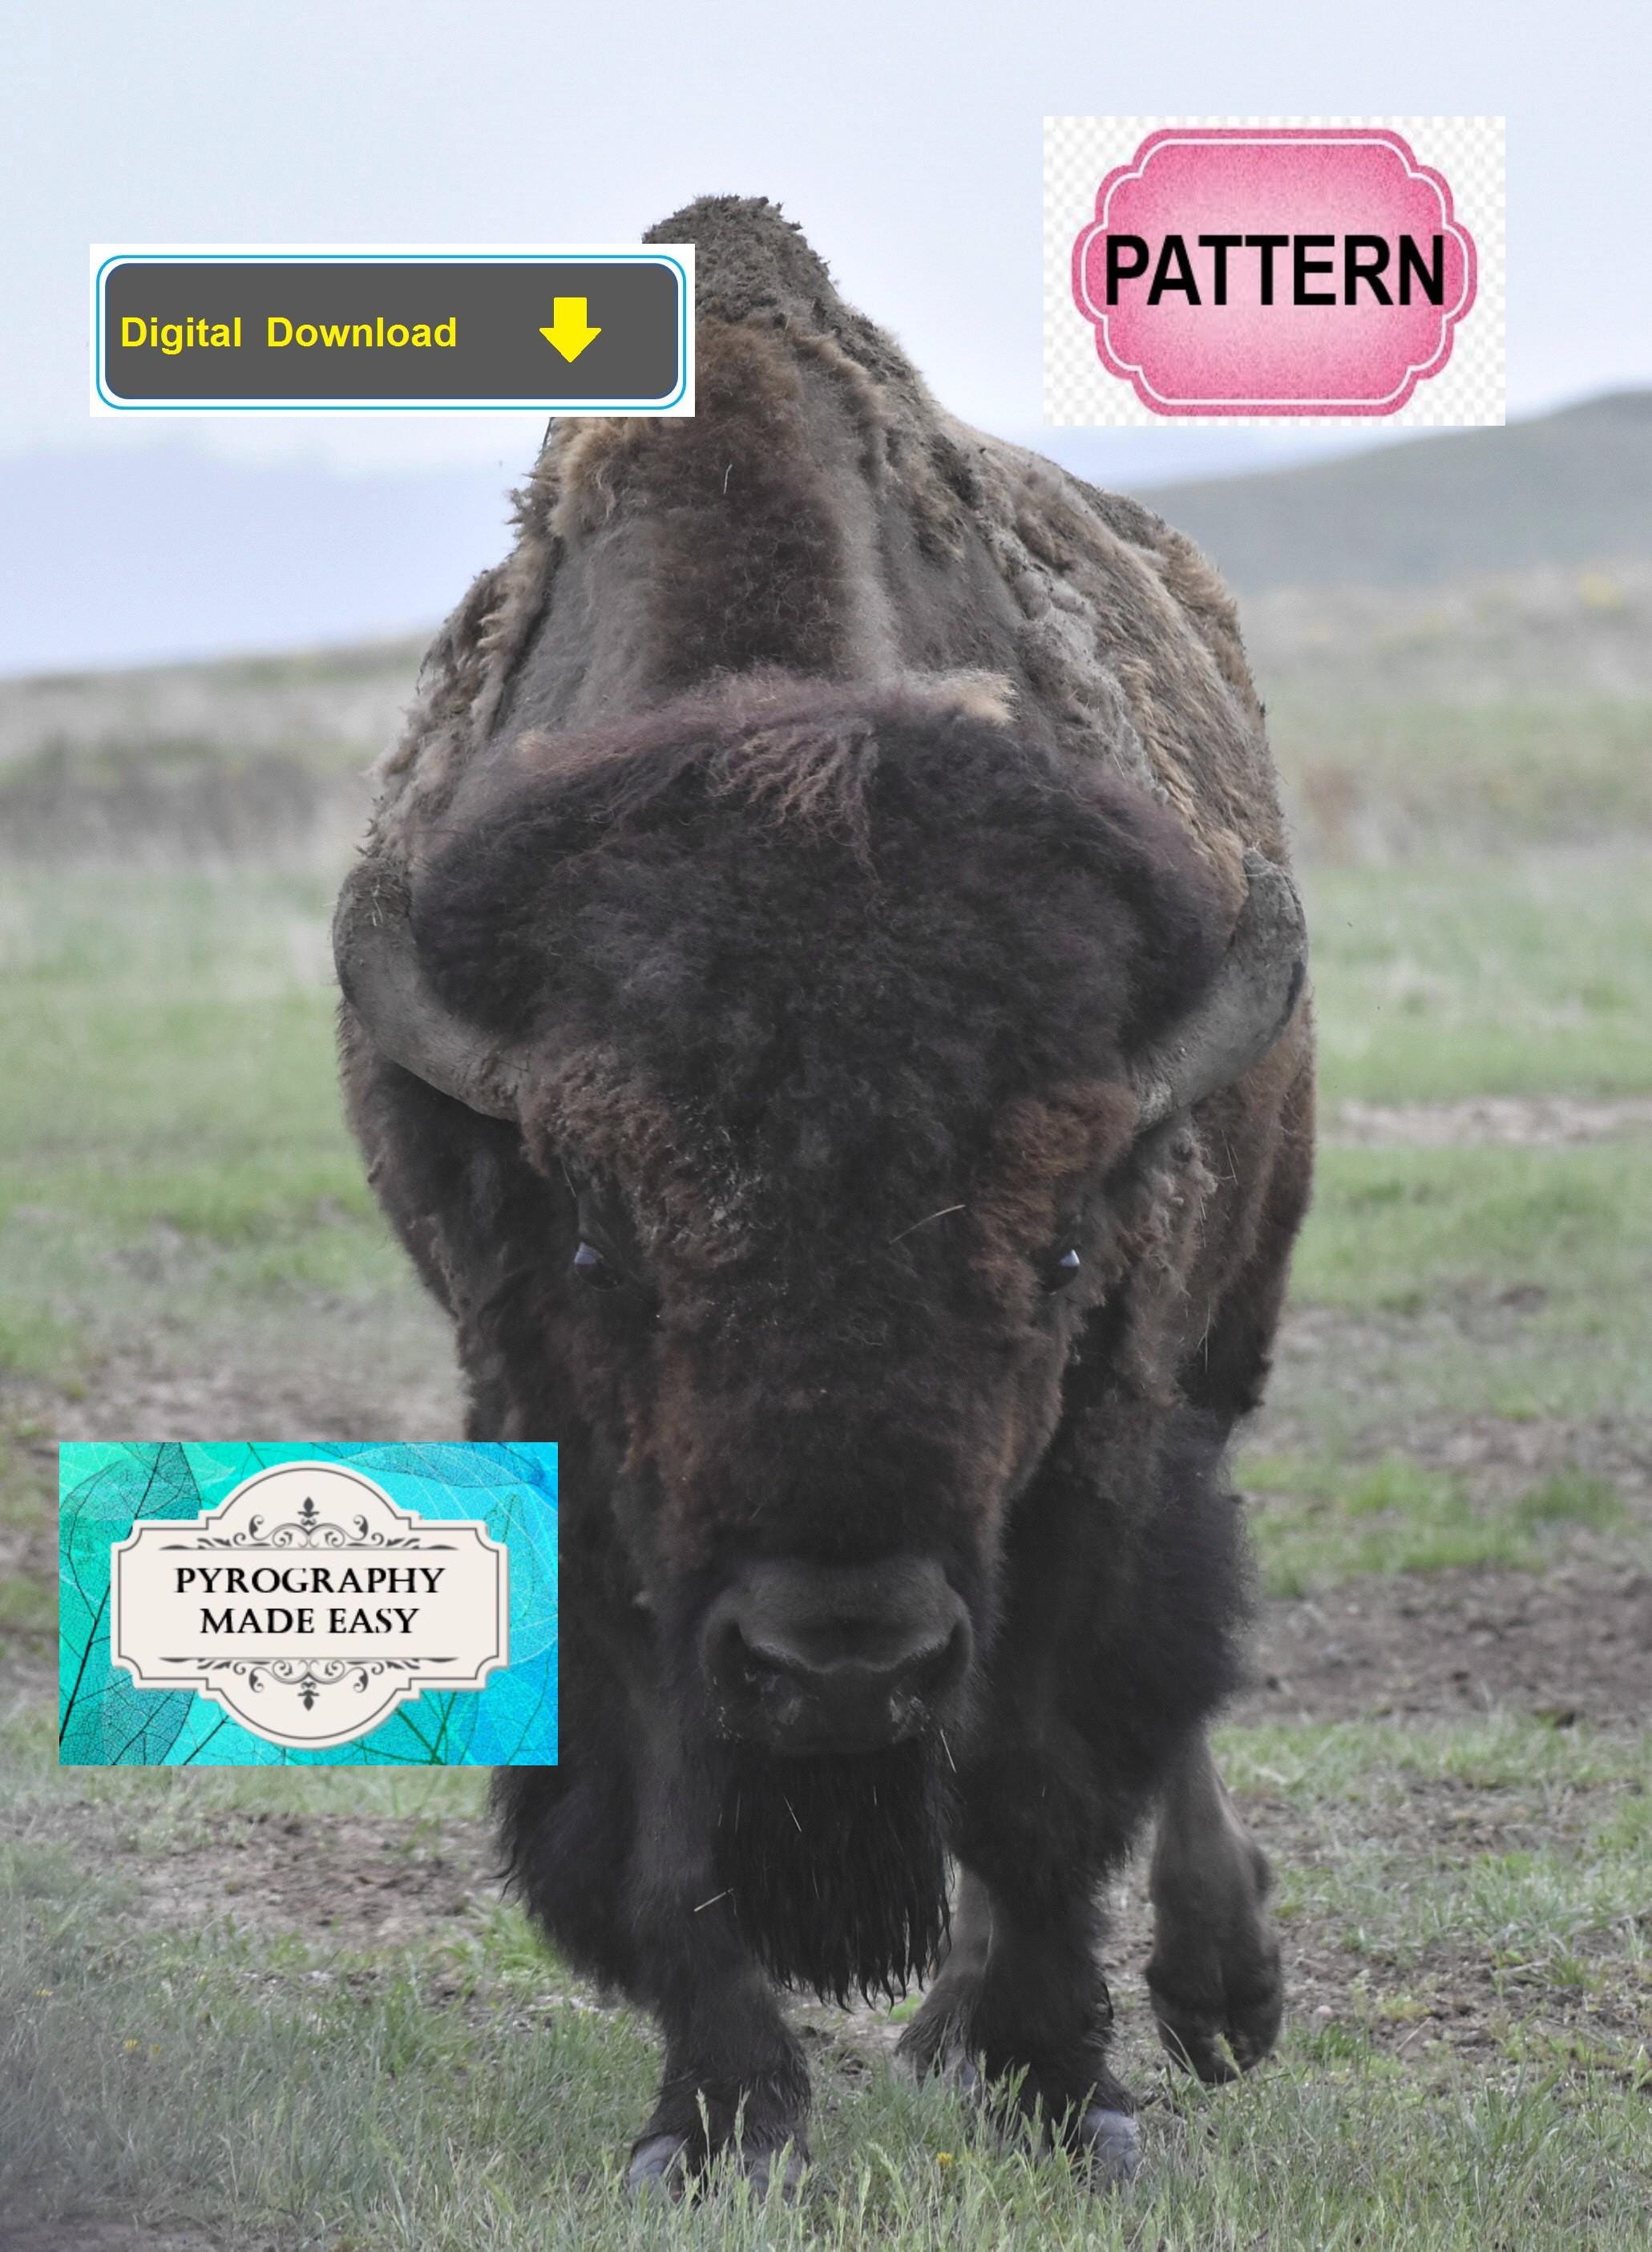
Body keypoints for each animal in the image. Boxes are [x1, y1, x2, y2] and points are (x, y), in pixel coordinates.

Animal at [334, 195, 1313, 2190]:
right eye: (596, 1241)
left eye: (1064, 1240)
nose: (842, 1661)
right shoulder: (578, 1459)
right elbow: (661, 1821)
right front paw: (713, 2121)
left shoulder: (1090, 1444)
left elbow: (1041, 1773)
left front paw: (1067, 2091)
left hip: (1230, 1326)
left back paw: (1202, 1995)